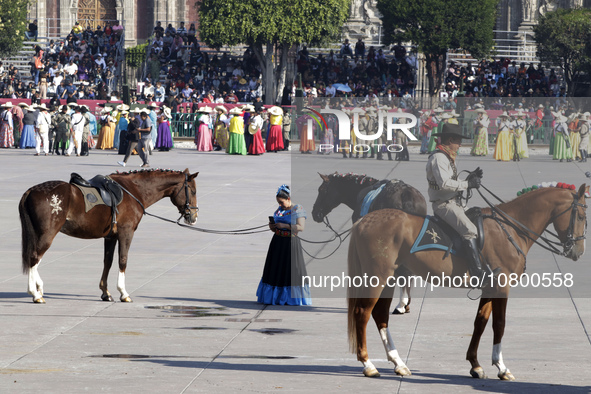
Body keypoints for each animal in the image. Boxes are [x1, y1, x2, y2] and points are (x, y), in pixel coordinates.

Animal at [18, 168, 200, 304]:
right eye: (193, 191)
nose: (193, 217)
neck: (134, 191)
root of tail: (31, 191)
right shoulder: (126, 232)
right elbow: (123, 260)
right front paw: (123, 292)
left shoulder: (110, 237)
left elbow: (108, 262)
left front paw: (105, 292)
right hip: (47, 233)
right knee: (34, 257)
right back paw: (35, 293)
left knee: (33, 258)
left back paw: (39, 287)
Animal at [346, 186, 588, 380]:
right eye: (582, 216)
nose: (578, 251)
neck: (509, 228)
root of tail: (364, 220)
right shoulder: (502, 286)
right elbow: (499, 324)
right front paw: (501, 367)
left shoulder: (490, 287)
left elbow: (480, 322)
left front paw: (476, 364)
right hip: (377, 278)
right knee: (362, 313)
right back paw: (368, 364)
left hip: (389, 279)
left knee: (380, 315)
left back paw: (398, 363)